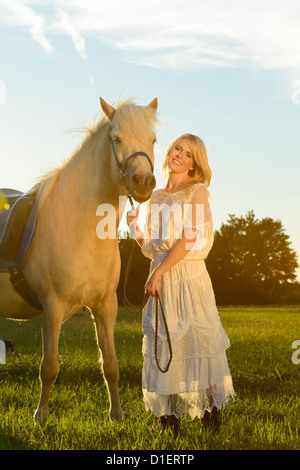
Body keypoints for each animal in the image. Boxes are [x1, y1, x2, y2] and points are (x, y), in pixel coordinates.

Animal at [0, 95, 158, 426]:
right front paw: (40, 417)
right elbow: (49, 368)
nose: (143, 183)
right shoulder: (53, 307)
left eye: (153, 140)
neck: (81, 227)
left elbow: (110, 365)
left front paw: (116, 415)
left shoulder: (106, 306)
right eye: (116, 138)